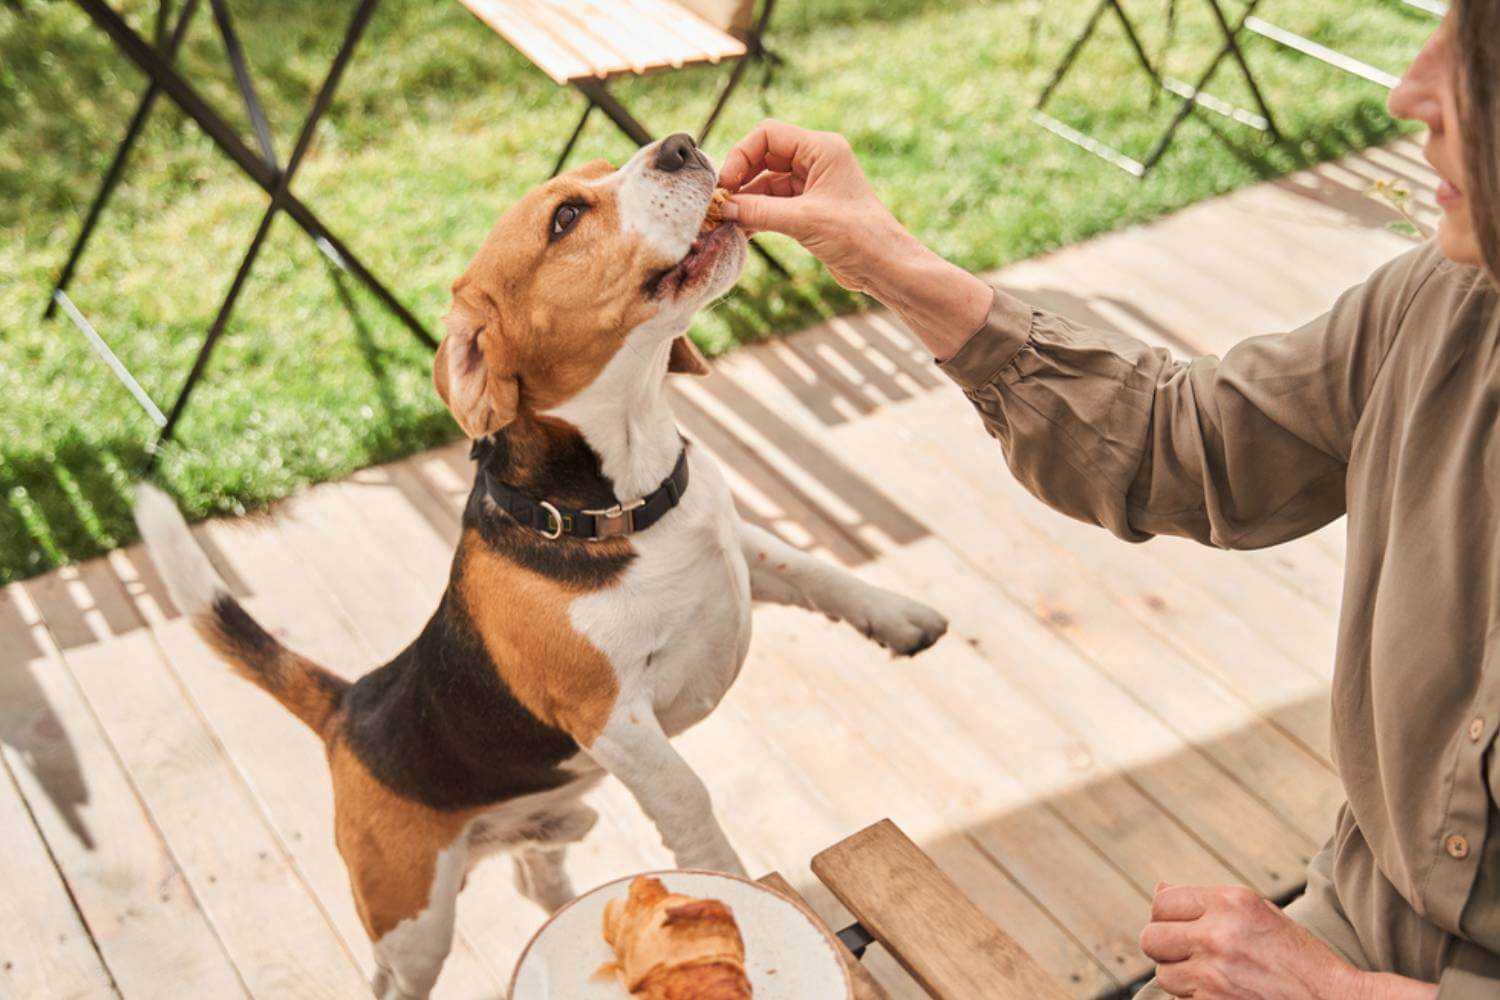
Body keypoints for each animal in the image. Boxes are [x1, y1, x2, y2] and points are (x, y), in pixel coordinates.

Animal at [132, 134, 948, 1000]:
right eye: (565, 218)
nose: (681, 145)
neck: (621, 496)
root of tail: (351, 703)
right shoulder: (611, 719)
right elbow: (688, 795)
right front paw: (722, 876)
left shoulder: (739, 552)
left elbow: (817, 570)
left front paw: (898, 617)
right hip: (415, 924)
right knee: (402, 970)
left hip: (558, 817)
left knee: (535, 870)